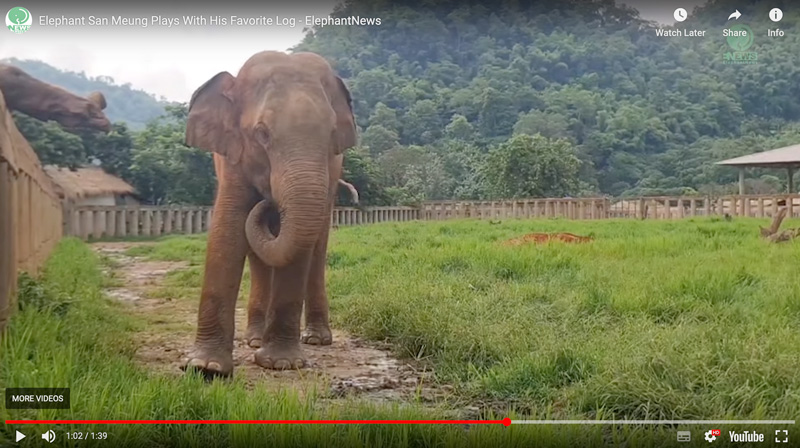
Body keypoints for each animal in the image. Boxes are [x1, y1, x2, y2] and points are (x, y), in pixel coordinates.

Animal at [183, 50, 358, 376]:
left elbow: (300, 246)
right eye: (261, 133)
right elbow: (227, 229)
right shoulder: (232, 157)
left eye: (331, 134)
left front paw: (281, 363)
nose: (268, 199)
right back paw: (253, 339)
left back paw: (316, 339)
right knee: (259, 255)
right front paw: (205, 367)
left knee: (316, 248)